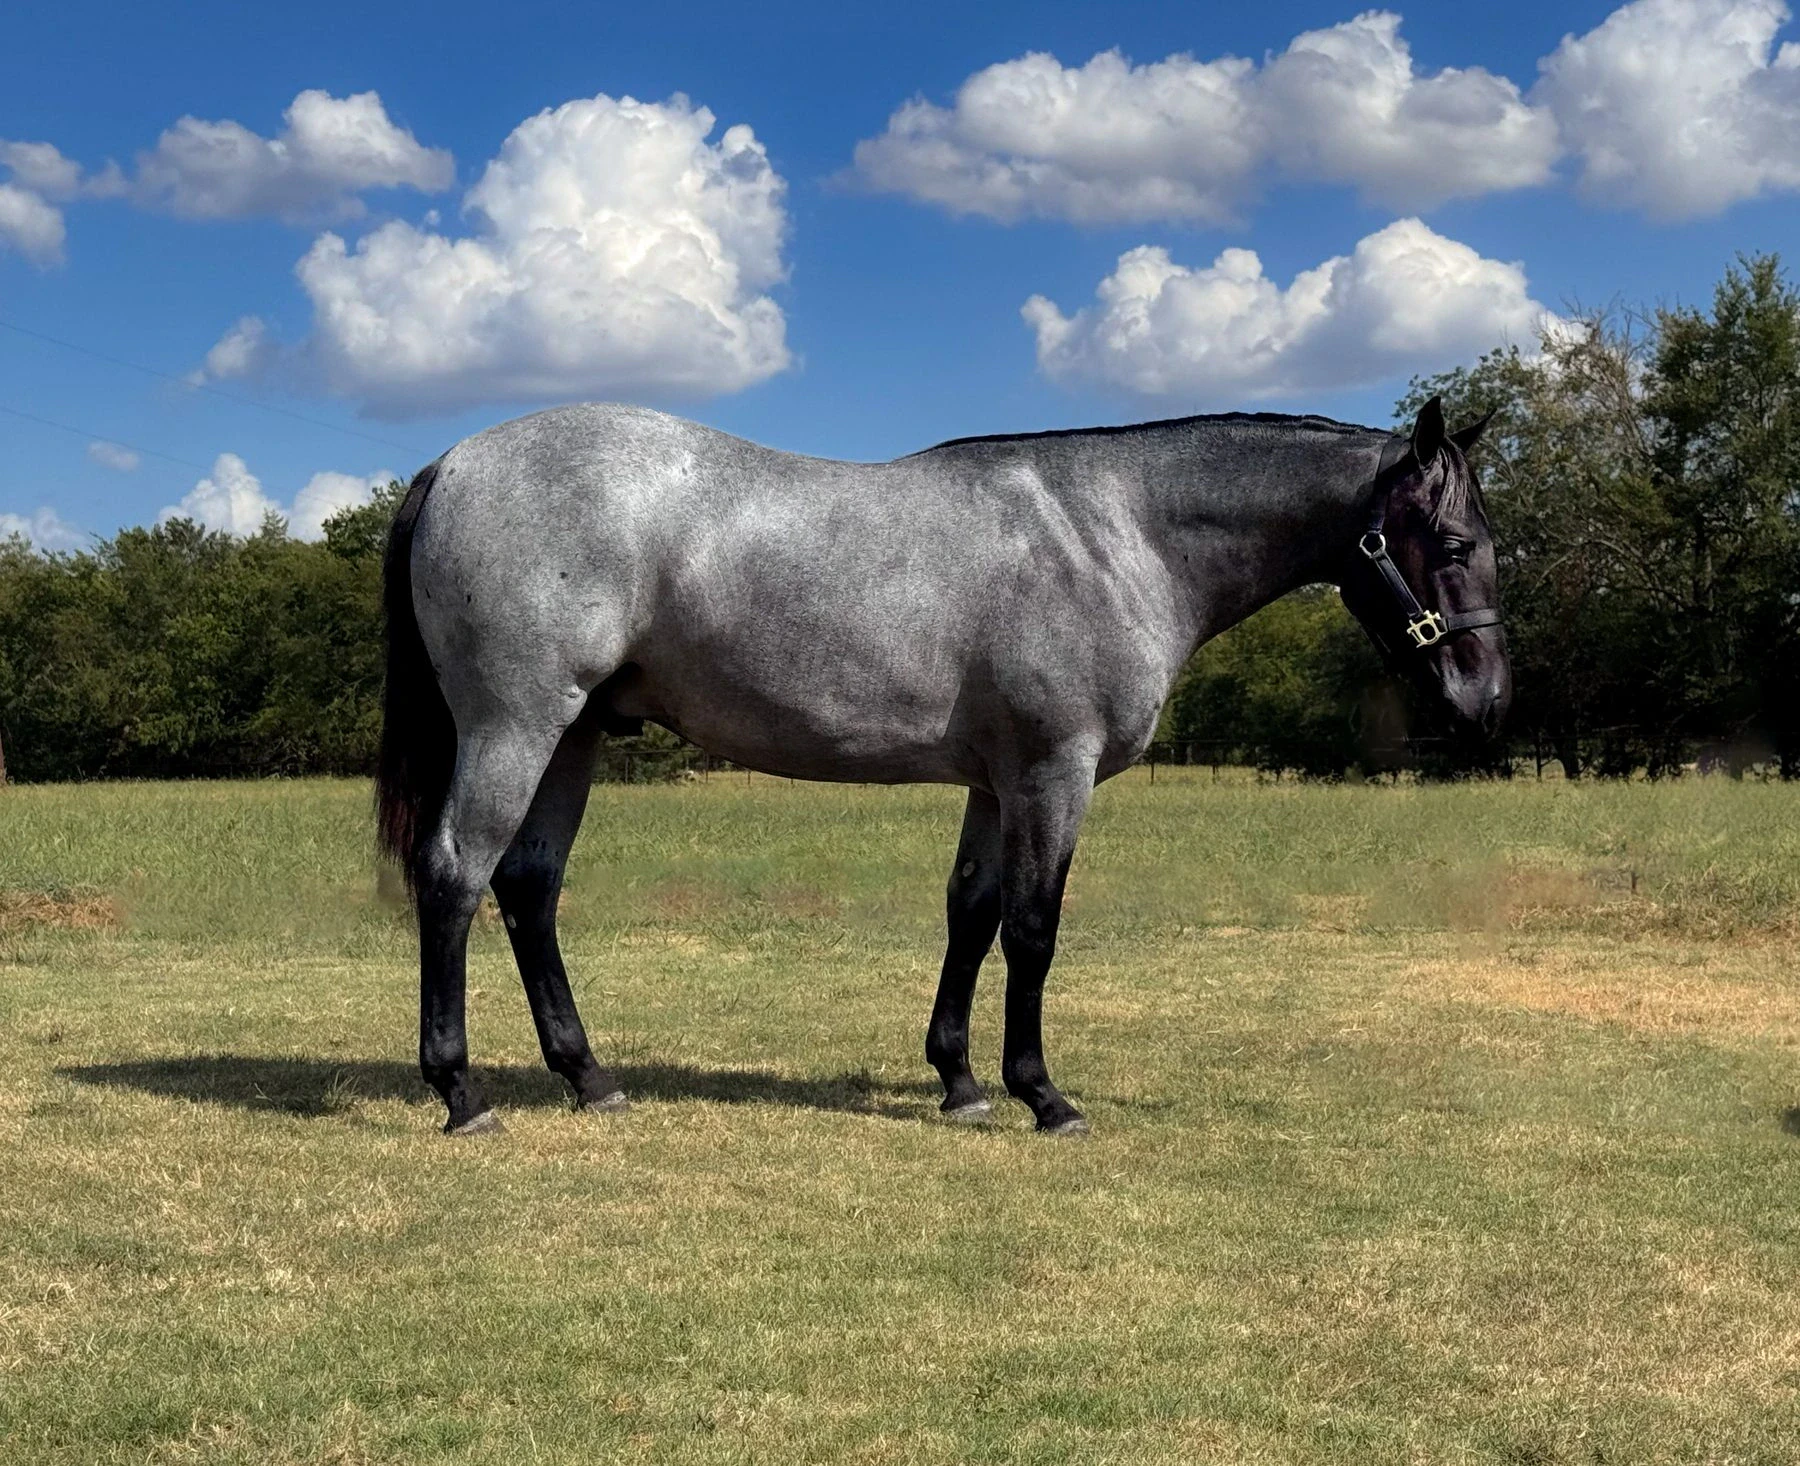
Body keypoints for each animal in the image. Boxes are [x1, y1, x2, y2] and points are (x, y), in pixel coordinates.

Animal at [376, 395, 1509, 1137]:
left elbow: (971, 912)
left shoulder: (993, 782)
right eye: (1453, 544)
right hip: (518, 726)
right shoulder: (1054, 772)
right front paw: (1043, 1094)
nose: (1487, 701)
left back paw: (590, 1076)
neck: (1114, 533)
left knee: (529, 887)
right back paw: (461, 1093)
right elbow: (1034, 929)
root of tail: (453, 464)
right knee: (456, 875)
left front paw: (960, 1084)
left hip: (572, 738)